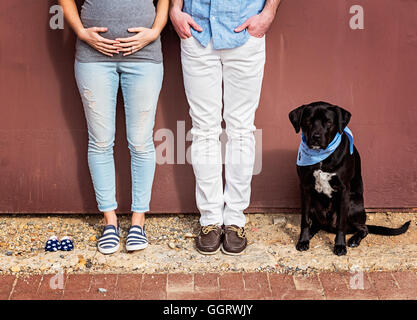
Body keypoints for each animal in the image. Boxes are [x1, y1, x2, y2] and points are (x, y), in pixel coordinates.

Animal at [288, 101, 408, 256]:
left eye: (328, 122)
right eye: (308, 121)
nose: (316, 136)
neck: (322, 157)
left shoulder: (344, 190)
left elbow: (341, 224)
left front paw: (340, 245)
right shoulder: (305, 188)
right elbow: (304, 220)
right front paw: (303, 240)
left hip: (352, 205)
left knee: (364, 228)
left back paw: (354, 239)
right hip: (315, 205)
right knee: (316, 223)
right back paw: (310, 234)